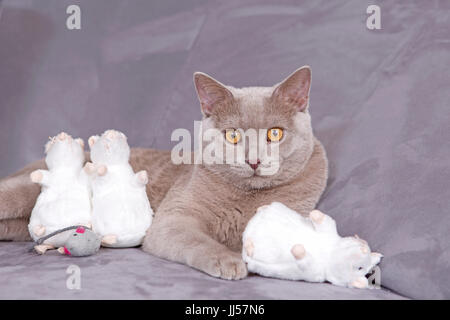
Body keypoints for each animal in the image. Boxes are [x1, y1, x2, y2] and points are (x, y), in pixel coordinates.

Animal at [0, 65, 326, 280]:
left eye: (275, 133)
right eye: (233, 135)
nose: (254, 160)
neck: (247, 198)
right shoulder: (174, 218)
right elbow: (197, 240)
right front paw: (229, 261)